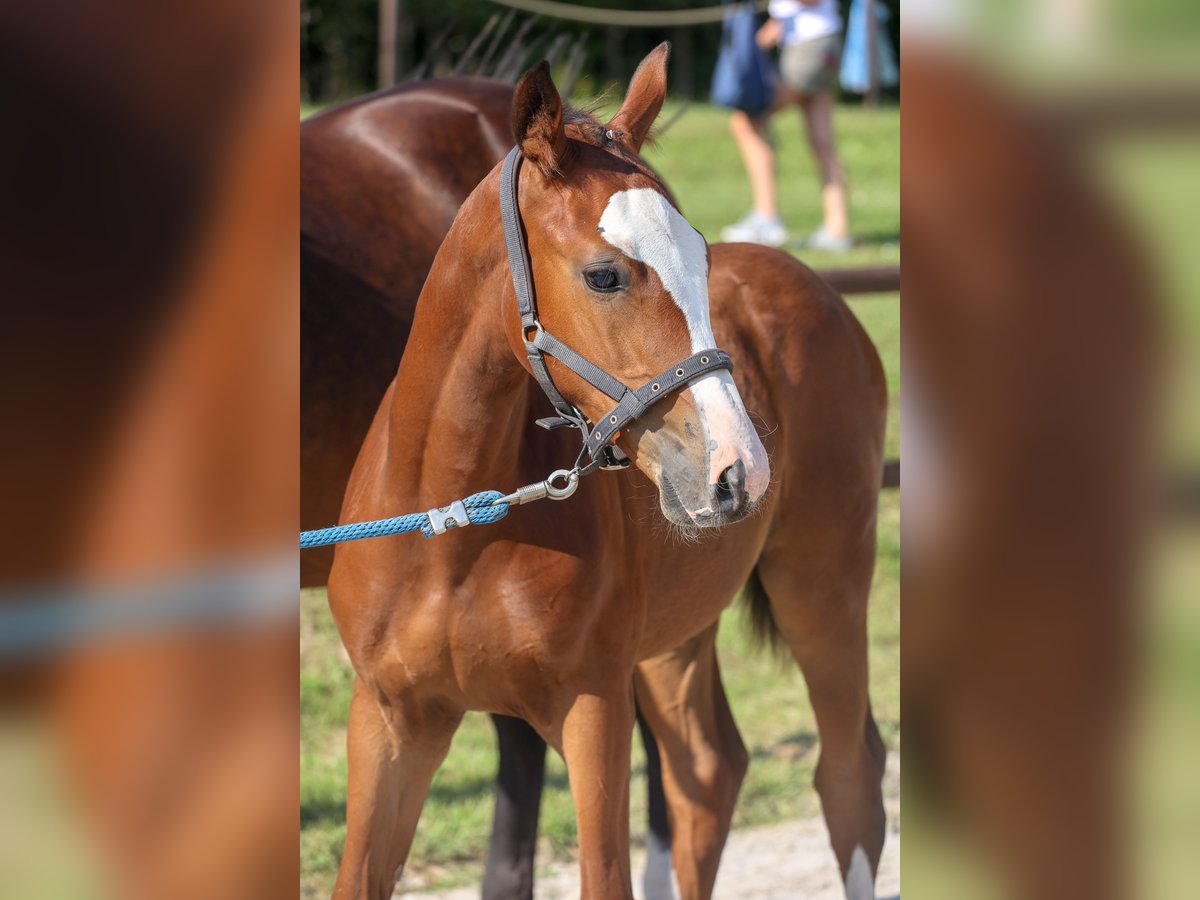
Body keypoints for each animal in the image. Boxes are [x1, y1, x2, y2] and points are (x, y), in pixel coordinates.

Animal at [324, 47, 888, 900]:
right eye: (604, 276)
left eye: (703, 258)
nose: (740, 471)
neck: (452, 522)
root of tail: (820, 288)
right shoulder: (390, 719)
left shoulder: (592, 707)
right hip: (674, 636)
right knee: (706, 773)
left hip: (822, 581)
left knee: (850, 778)